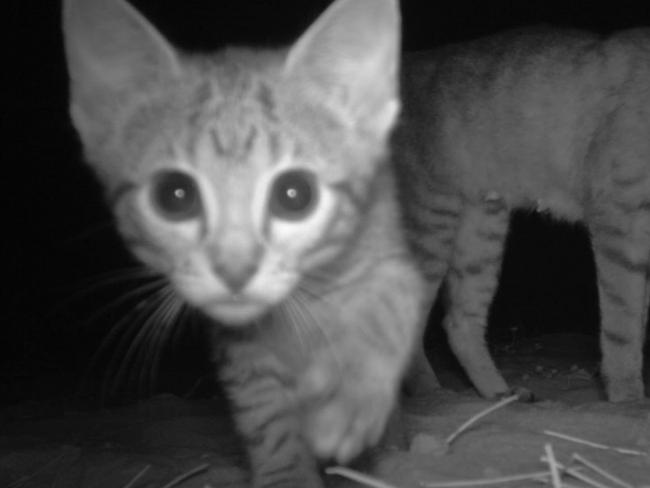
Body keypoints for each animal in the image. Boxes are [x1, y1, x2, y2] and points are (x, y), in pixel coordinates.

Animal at [62, 0, 426, 486]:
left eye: (294, 194)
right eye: (174, 196)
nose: (234, 270)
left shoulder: (388, 255)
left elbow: (391, 303)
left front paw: (351, 398)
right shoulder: (238, 347)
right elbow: (264, 416)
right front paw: (285, 473)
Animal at [394, 26, 648, 402]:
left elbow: (638, 319)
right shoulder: (620, 218)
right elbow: (624, 323)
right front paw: (628, 399)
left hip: (481, 231)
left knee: (460, 321)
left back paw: (500, 396)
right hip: (431, 223)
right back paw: (431, 396)